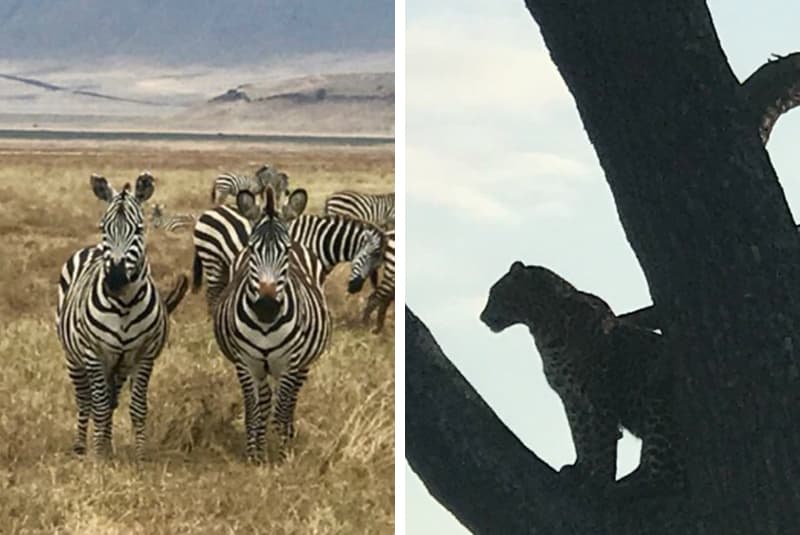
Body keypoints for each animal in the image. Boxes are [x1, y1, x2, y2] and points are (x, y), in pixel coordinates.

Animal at [56, 173, 188, 460]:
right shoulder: (94, 353)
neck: (124, 305)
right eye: (103, 227)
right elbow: (98, 405)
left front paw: (138, 456)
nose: (115, 280)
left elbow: (137, 407)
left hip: (119, 366)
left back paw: (107, 444)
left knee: (110, 398)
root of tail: (92, 249)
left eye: (138, 229)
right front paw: (98, 457)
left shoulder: (144, 355)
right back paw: (82, 447)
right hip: (75, 357)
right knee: (85, 400)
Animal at [212, 187, 331, 462]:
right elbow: (253, 409)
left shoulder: (290, 363)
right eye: (252, 250)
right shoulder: (245, 363)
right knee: (265, 401)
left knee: (290, 402)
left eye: (285, 251)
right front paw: (254, 454)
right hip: (261, 366)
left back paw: (287, 436)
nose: (266, 307)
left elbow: (282, 409)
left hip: (302, 364)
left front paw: (281, 454)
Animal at [479, 261, 683, 494]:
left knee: (668, 477)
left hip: (657, 401)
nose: (482, 317)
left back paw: (626, 487)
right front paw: (581, 469)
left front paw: (599, 481)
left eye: (495, 294)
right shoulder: (571, 398)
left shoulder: (601, 396)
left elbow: (603, 443)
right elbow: (581, 435)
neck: (542, 326)